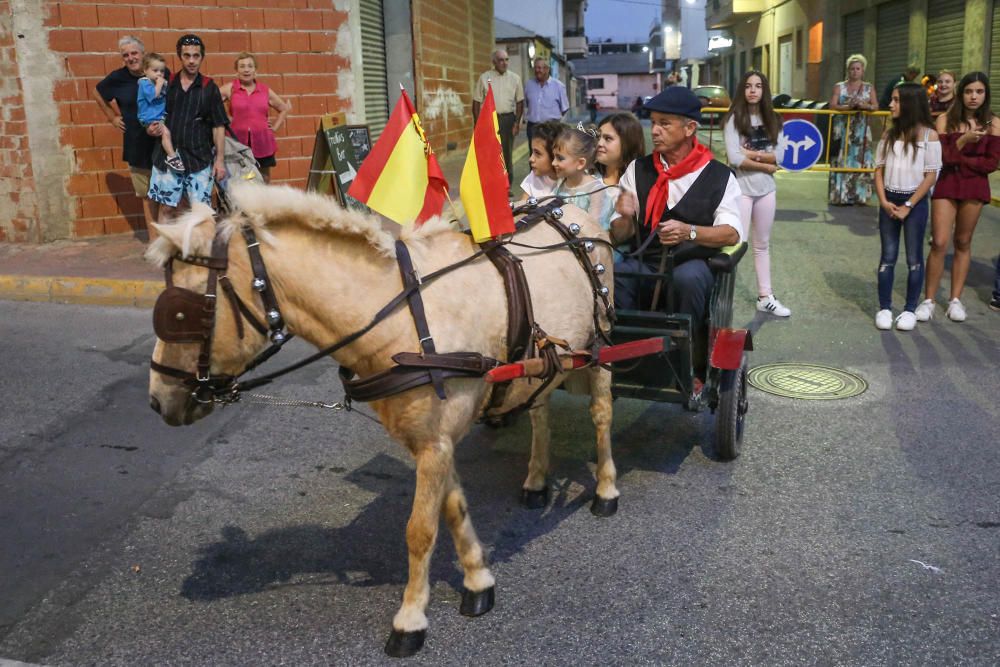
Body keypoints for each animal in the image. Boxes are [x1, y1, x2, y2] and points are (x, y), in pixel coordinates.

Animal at [147, 183, 616, 656]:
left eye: (181, 313)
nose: (156, 400)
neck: (404, 322)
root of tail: (567, 206)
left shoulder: (434, 443)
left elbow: (420, 530)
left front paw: (411, 619)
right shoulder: (432, 441)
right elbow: (453, 509)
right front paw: (478, 580)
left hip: (599, 345)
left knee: (601, 413)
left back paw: (606, 489)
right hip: (543, 363)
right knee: (539, 410)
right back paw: (536, 479)